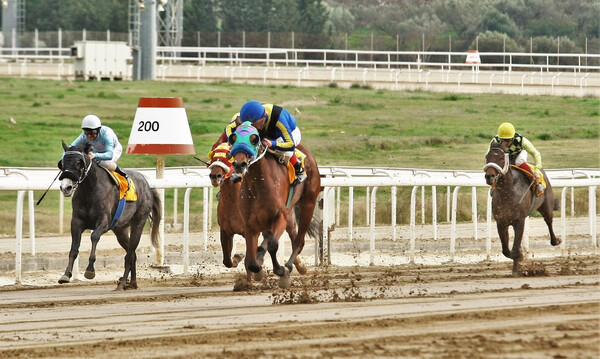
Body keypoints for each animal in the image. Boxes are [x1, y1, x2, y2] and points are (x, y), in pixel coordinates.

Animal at [57, 142, 162, 292]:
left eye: (78, 162)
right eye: (62, 163)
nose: (66, 187)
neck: (90, 190)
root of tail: (148, 186)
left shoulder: (104, 222)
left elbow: (94, 236)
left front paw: (90, 270)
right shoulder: (76, 222)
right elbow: (74, 248)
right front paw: (66, 275)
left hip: (138, 222)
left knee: (130, 254)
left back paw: (123, 283)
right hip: (120, 230)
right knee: (132, 254)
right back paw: (132, 283)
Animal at [227, 125, 322, 288]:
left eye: (254, 139)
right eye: (234, 138)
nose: (239, 164)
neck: (258, 186)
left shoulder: (280, 216)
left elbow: (273, 245)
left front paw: (282, 271)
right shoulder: (250, 224)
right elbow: (251, 261)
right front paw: (258, 270)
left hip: (307, 204)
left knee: (299, 241)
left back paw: (289, 266)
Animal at [480, 143, 560, 276]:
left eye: (501, 158)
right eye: (487, 157)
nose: (489, 176)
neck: (508, 192)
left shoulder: (519, 220)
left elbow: (515, 248)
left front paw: (515, 269)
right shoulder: (501, 222)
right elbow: (506, 250)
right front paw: (520, 257)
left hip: (546, 206)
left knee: (549, 221)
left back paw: (556, 240)